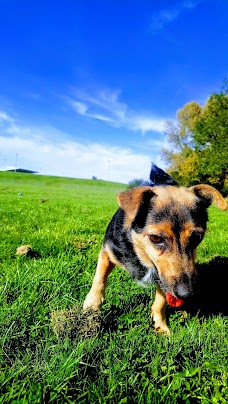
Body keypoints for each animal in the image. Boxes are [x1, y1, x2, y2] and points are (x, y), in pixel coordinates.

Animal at [83, 165, 226, 334]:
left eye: (197, 237)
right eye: (156, 238)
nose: (186, 294)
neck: (140, 253)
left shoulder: (164, 279)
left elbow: (161, 301)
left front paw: (161, 325)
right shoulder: (108, 251)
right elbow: (99, 277)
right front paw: (92, 304)